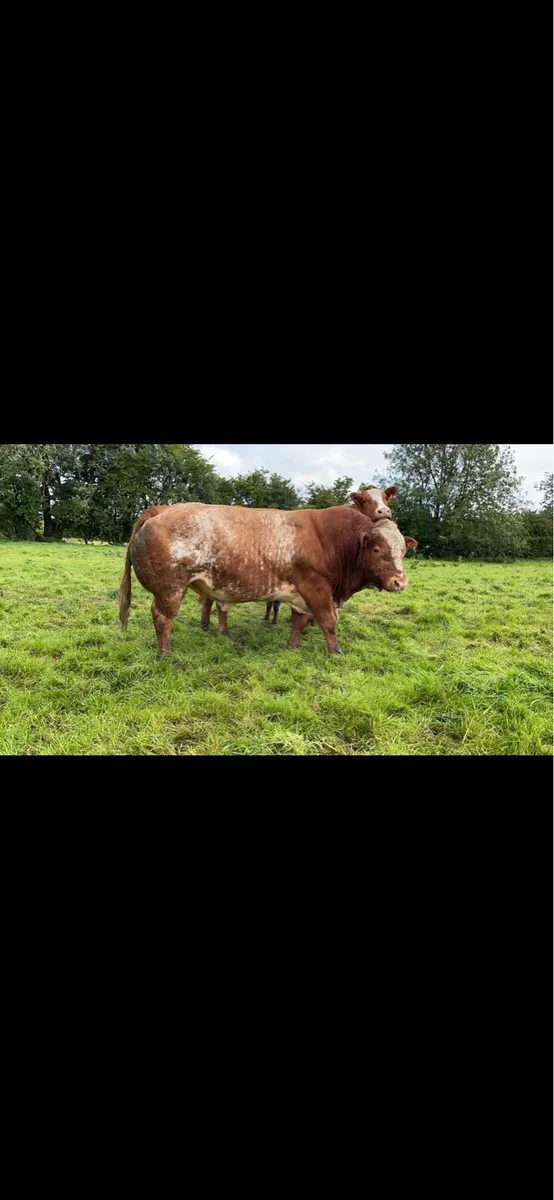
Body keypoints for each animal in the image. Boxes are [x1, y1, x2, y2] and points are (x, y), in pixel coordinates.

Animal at [119, 503, 417, 657]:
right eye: (377, 549)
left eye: (403, 550)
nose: (399, 582)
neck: (333, 540)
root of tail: (161, 509)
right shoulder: (318, 589)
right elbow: (329, 623)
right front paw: (336, 651)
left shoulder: (300, 594)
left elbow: (299, 621)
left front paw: (293, 645)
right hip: (169, 589)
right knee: (162, 618)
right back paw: (165, 653)